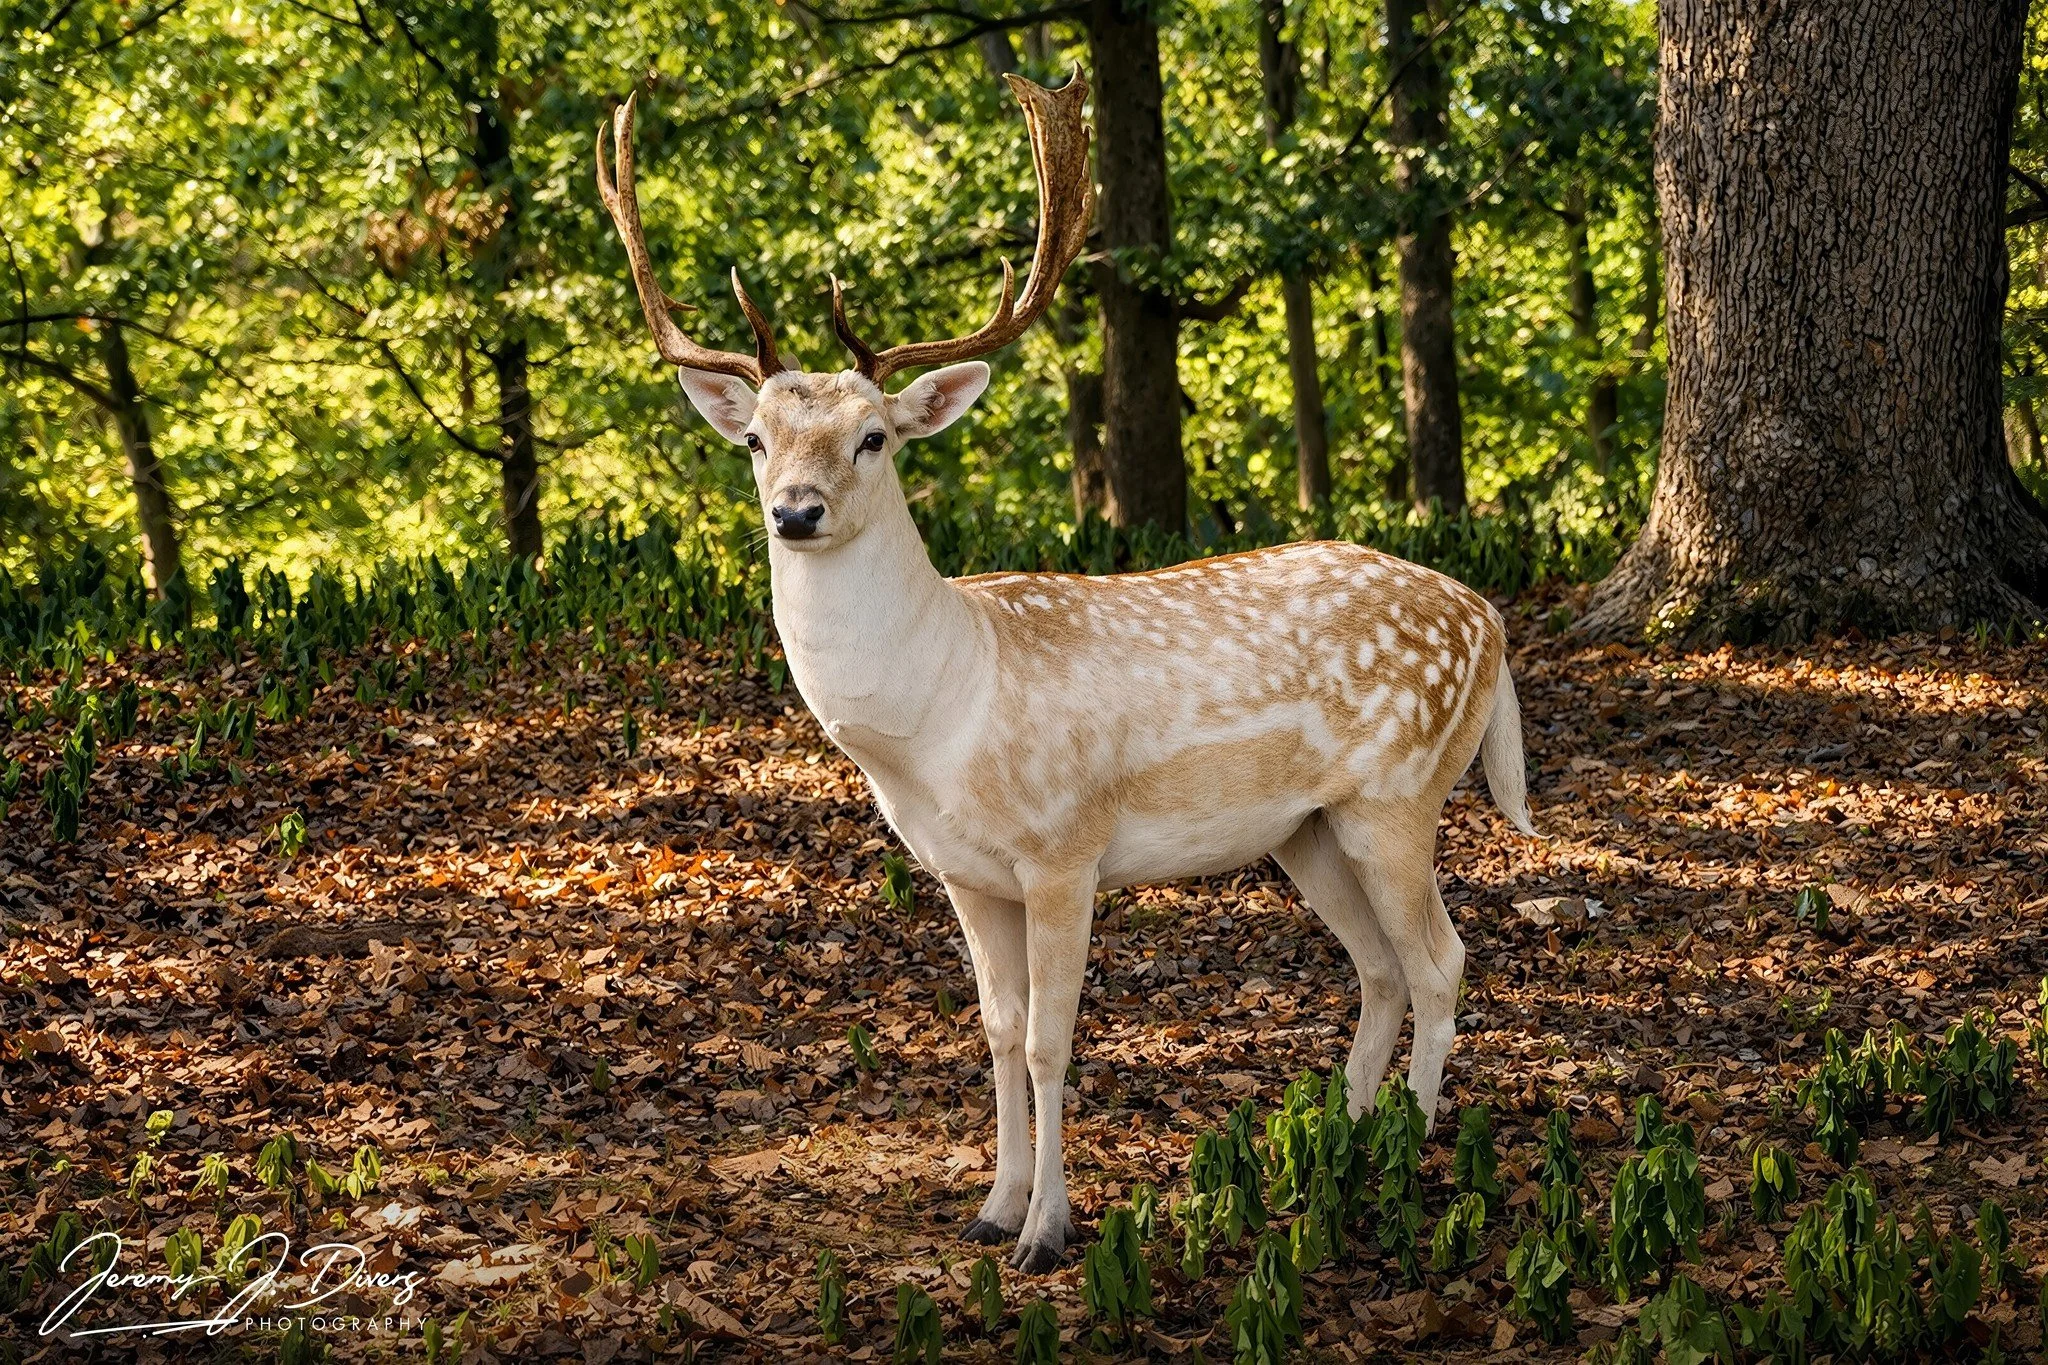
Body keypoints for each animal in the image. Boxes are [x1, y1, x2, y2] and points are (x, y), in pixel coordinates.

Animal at [596, 68, 1537, 1273]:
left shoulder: (1062, 848)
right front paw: (989, 1206)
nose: (794, 512)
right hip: (1306, 829)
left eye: (873, 437)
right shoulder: (964, 872)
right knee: (1376, 969)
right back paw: (1339, 1152)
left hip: (1399, 792)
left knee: (1440, 960)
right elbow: (996, 1033)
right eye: (756, 438)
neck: (938, 719)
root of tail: (1491, 620)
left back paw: (1406, 1162)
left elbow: (1051, 1040)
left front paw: (1045, 1232)